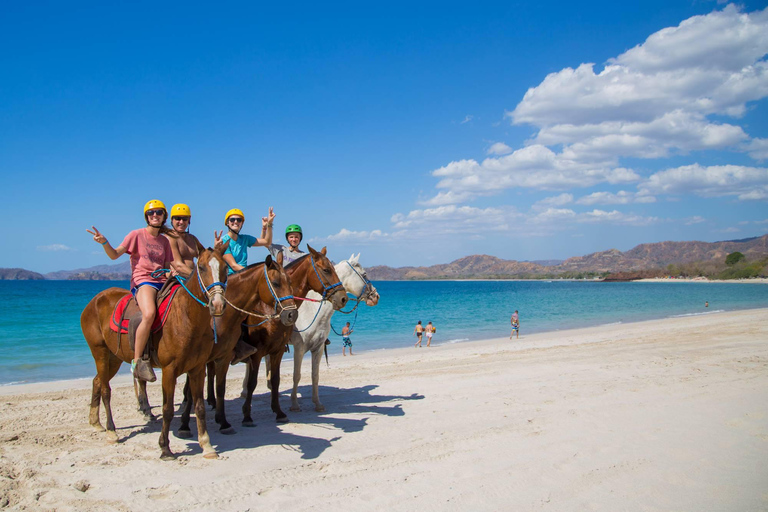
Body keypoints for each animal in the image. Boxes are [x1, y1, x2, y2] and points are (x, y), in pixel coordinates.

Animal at [83, 244, 231, 460]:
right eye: (202, 267)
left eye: (225, 268)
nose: (218, 304)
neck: (186, 317)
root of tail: (95, 301)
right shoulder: (169, 371)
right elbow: (167, 409)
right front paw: (165, 448)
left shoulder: (197, 369)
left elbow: (200, 407)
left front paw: (207, 445)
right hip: (100, 353)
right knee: (105, 390)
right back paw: (111, 431)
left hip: (114, 358)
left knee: (96, 382)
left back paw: (95, 422)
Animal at [178, 252, 298, 436]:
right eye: (276, 283)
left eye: (290, 282)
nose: (292, 314)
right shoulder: (256, 354)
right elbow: (251, 383)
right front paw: (246, 416)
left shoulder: (275, 352)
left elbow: (275, 380)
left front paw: (279, 412)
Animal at [240, 243, 348, 424]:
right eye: (326, 270)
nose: (343, 298)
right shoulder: (282, 349)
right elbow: (287, 377)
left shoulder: (289, 349)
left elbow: (306, 376)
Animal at [255, 256, 378, 412]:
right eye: (364, 274)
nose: (376, 296)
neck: (313, 311)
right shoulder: (299, 348)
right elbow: (296, 375)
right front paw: (294, 404)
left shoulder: (318, 348)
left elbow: (315, 376)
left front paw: (317, 403)